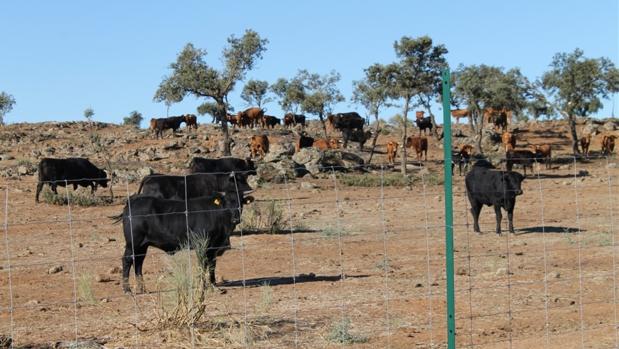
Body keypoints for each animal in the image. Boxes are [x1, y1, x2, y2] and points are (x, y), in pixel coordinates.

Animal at [114, 192, 252, 292]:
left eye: (240, 203)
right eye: (227, 203)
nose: (236, 219)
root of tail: (132, 202)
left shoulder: (213, 248)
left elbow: (212, 266)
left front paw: (213, 285)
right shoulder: (201, 245)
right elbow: (202, 265)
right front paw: (202, 286)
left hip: (142, 246)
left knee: (138, 263)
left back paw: (142, 289)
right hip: (133, 243)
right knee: (127, 261)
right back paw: (127, 290)